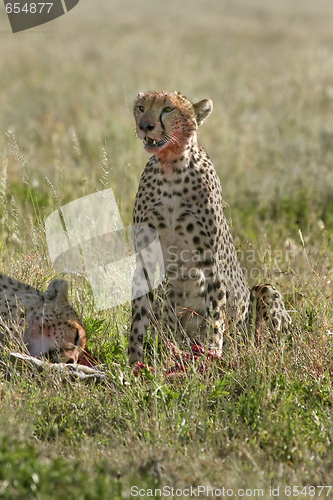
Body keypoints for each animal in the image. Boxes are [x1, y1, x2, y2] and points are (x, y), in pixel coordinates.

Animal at [128, 90, 290, 364]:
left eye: (168, 109)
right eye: (141, 107)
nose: (145, 126)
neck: (171, 166)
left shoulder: (211, 263)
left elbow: (215, 315)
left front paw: (212, 353)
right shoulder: (146, 259)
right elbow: (138, 318)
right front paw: (133, 364)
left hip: (261, 301)